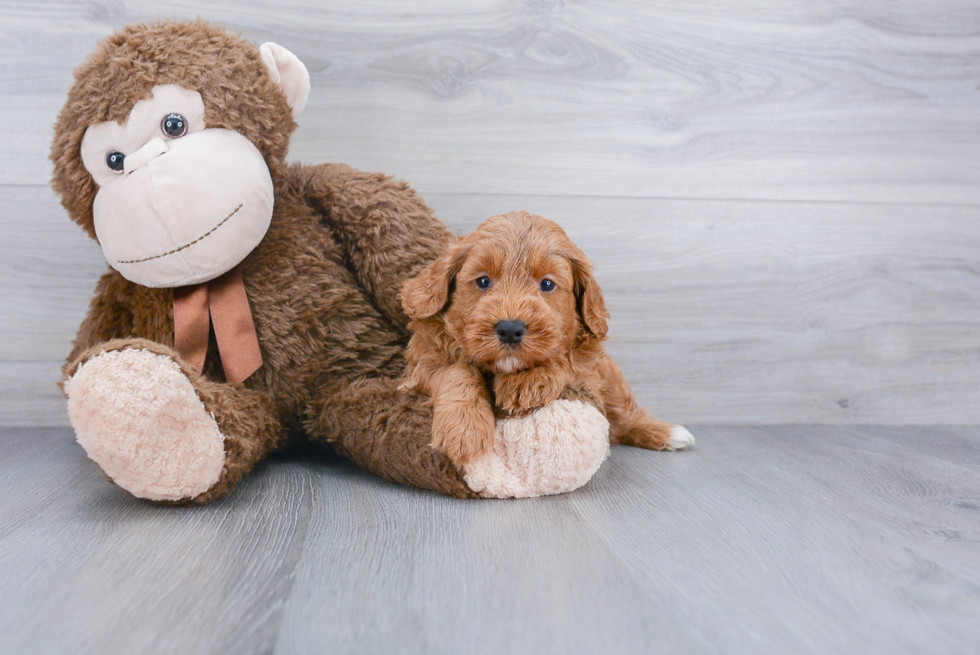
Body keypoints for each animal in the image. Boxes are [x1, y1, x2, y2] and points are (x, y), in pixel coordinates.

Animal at [396, 213, 688, 468]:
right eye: (483, 281)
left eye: (547, 284)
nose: (510, 329)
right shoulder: (422, 363)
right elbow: (456, 370)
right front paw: (465, 428)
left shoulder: (587, 365)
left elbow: (565, 359)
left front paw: (527, 381)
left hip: (611, 376)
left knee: (623, 414)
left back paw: (667, 433)